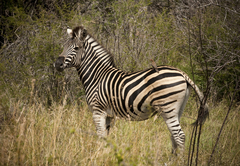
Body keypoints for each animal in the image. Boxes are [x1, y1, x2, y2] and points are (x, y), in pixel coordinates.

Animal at [54, 25, 208, 153]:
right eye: (64, 46)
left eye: (76, 48)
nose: (57, 63)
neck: (97, 76)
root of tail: (182, 73)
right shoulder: (108, 115)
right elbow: (106, 137)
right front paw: (106, 155)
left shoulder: (98, 111)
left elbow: (100, 136)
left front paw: (98, 155)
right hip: (177, 109)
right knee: (174, 136)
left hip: (167, 107)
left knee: (180, 136)